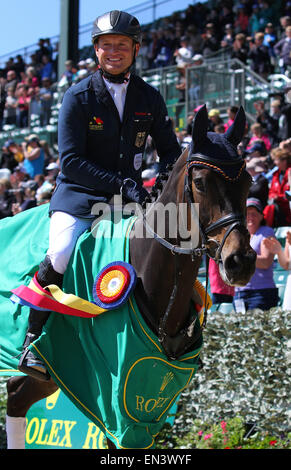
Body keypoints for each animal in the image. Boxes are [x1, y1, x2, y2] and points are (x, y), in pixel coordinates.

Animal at [5, 104, 258, 450]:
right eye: (201, 182)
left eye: (247, 180)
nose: (240, 262)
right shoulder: (117, 400)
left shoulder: (145, 403)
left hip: (55, 371)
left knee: (17, 397)